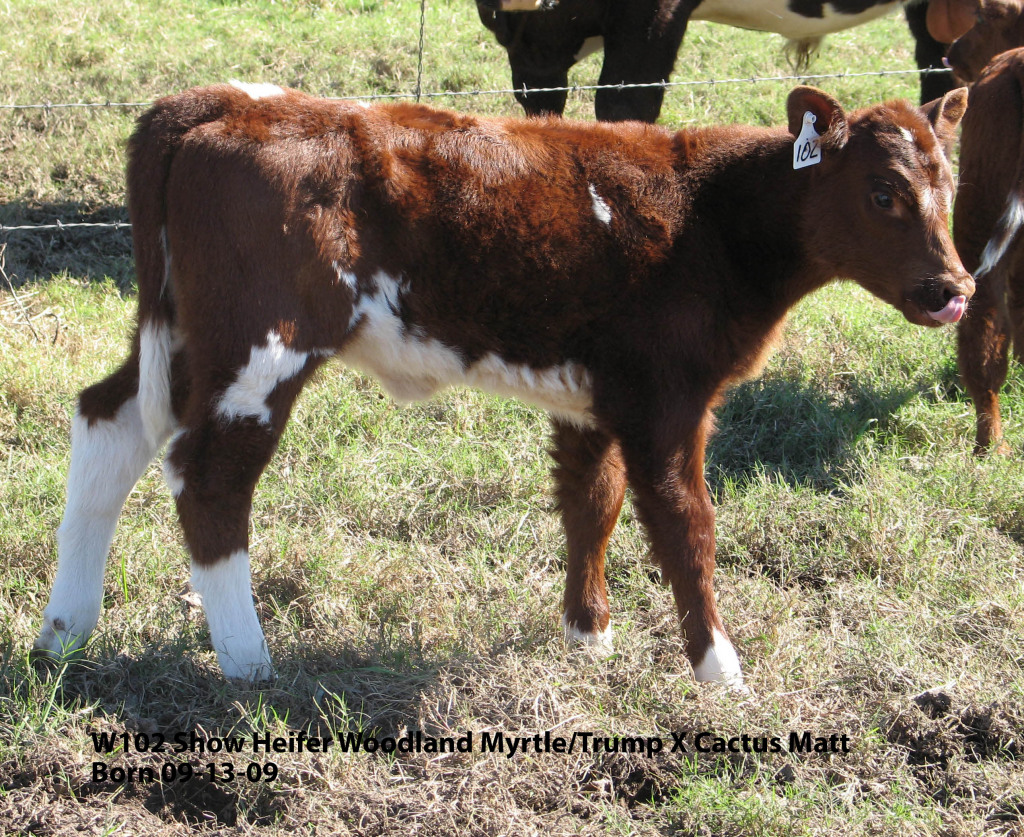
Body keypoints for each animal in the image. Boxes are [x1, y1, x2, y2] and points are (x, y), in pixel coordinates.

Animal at [32, 81, 970, 684]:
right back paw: (249, 662)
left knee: (109, 422)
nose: (953, 288)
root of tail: (224, 100)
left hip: (181, 334)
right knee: (208, 478)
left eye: (950, 184)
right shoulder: (670, 399)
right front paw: (721, 672)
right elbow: (686, 527)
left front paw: (588, 636)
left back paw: (63, 633)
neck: (707, 214)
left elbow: (592, 502)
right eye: (882, 192)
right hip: (262, 347)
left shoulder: (598, 394)